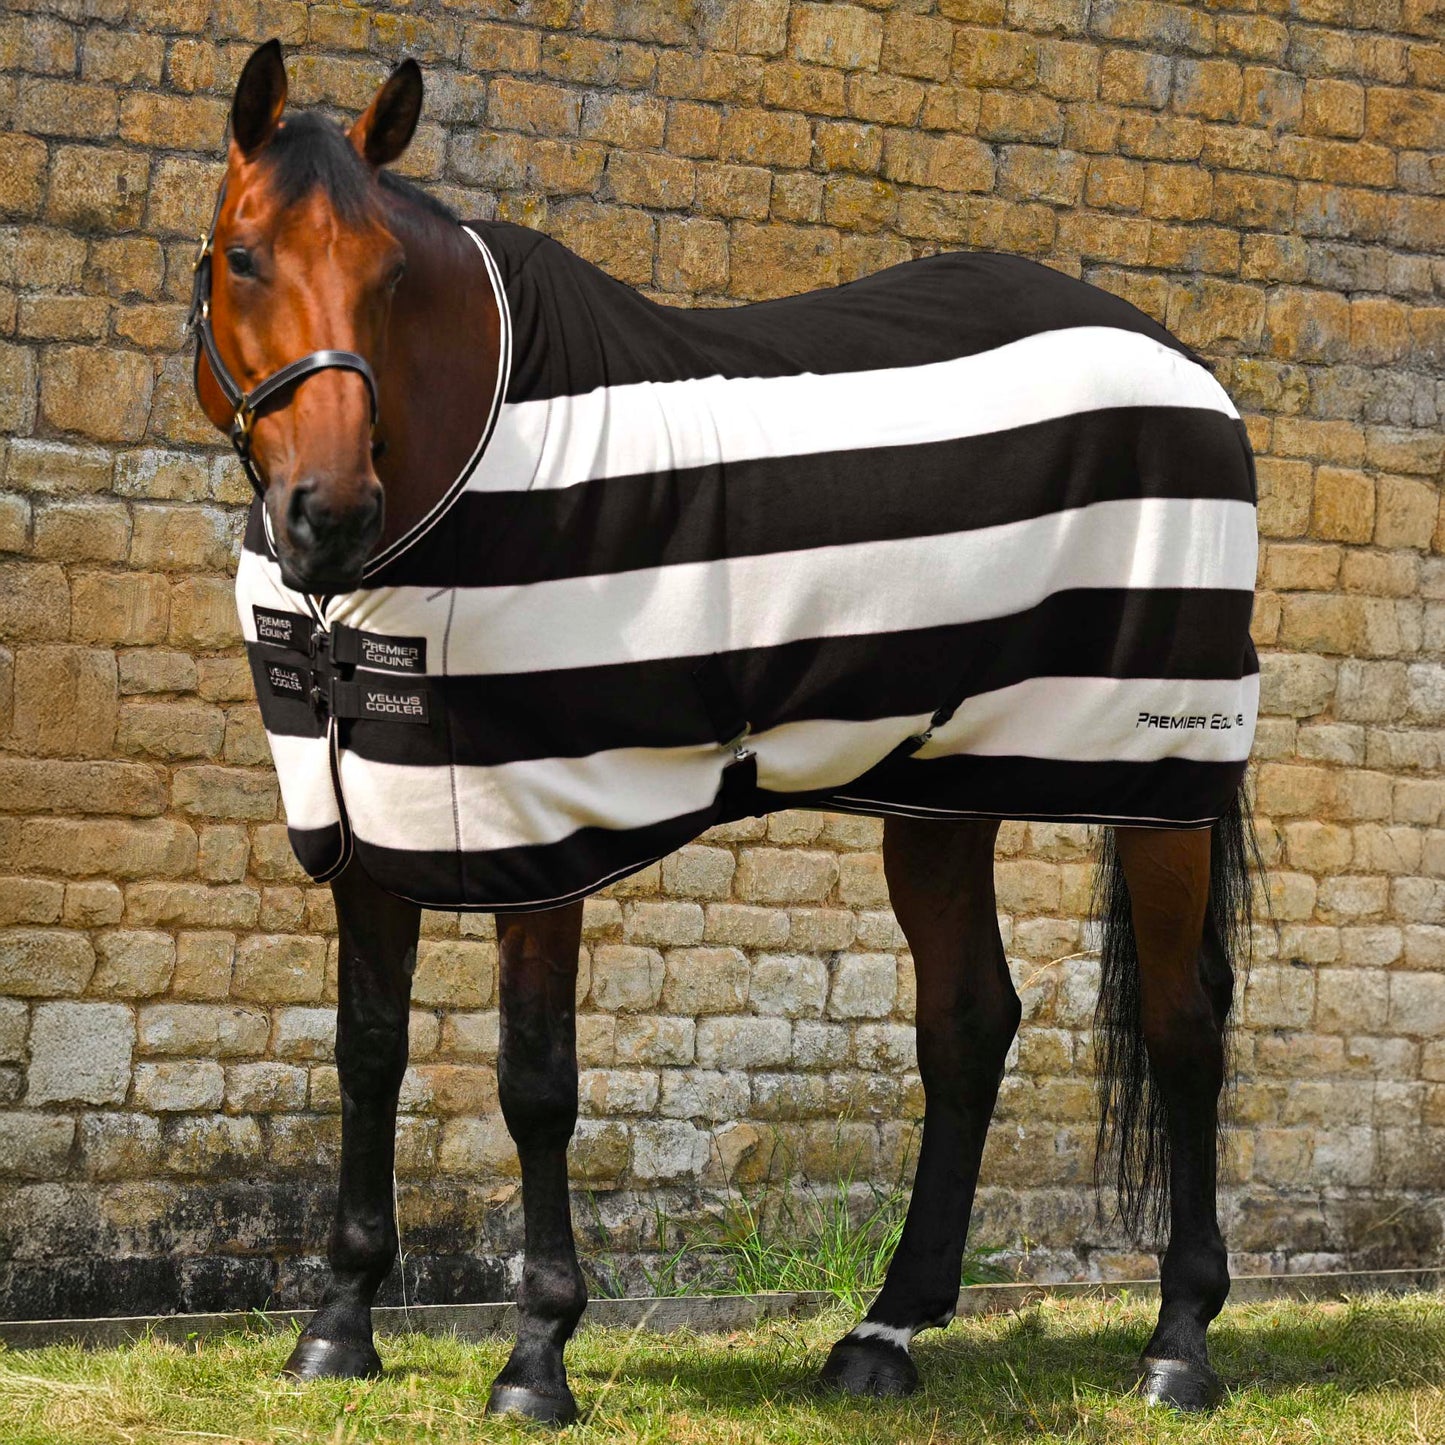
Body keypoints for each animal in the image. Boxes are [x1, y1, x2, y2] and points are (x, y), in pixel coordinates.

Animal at [191, 41, 1262, 1423]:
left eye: (389, 276)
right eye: (242, 256)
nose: (328, 513)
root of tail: (1182, 364)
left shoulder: (542, 822)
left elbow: (535, 1081)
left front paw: (536, 1354)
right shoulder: (365, 818)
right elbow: (366, 1050)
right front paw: (337, 1323)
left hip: (1158, 772)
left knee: (1183, 1025)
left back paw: (1177, 1342)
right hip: (941, 780)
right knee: (968, 1020)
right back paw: (884, 1330)